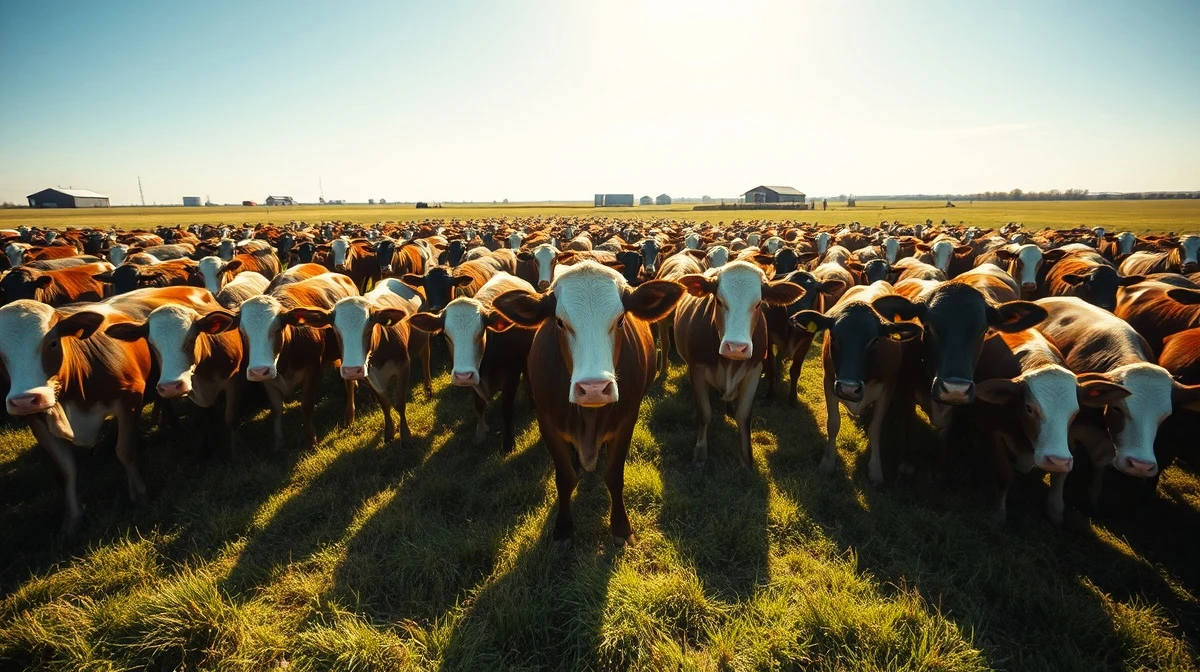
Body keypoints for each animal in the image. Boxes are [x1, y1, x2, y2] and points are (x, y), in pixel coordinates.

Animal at [409, 272, 537, 453]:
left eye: (481, 331)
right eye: (446, 334)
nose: (462, 376)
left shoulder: (512, 373)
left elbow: (506, 407)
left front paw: (507, 443)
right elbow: (479, 404)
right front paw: (481, 432)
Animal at [489, 260, 684, 546]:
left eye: (620, 319)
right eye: (560, 322)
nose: (593, 388)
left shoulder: (627, 421)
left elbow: (614, 475)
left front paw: (621, 527)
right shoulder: (547, 423)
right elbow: (564, 477)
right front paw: (563, 528)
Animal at [673, 261, 805, 467]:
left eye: (758, 304)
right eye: (719, 301)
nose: (736, 347)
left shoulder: (754, 370)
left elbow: (744, 416)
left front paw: (746, 458)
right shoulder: (697, 369)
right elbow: (705, 413)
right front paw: (700, 452)